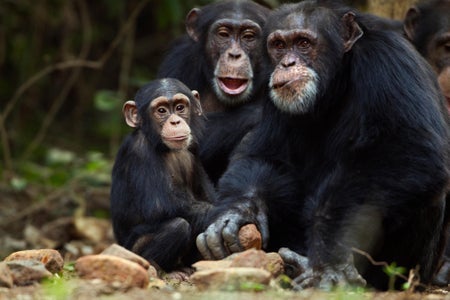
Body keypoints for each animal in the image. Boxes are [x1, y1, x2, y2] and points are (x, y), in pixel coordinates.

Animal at [111, 78, 218, 274]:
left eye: (180, 107)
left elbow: (206, 194)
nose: (175, 121)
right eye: (161, 111)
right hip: (131, 251)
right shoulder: (139, 151)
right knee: (177, 226)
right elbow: (158, 206)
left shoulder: (193, 148)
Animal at [196, 0, 450, 290]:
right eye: (279, 45)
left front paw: (329, 258)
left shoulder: (391, 61)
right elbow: (267, 154)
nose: (287, 62)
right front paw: (238, 214)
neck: (338, 81)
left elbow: (408, 147)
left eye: (303, 42)